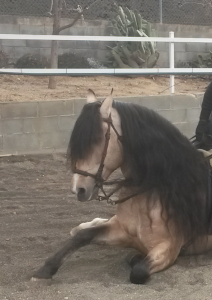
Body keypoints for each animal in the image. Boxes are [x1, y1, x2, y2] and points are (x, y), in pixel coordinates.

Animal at [31, 88, 212, 284]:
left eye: (97, 140)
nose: (78, 189)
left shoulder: (168, 248)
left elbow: (138, 271)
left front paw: (135, 258)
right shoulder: (120, 230)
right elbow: (83, 237)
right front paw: (45, 269)